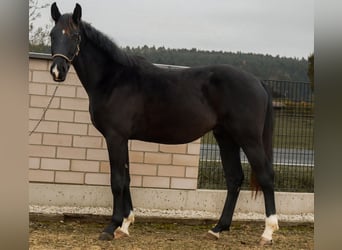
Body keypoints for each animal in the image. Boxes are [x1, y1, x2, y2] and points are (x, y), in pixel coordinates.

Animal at [50, 2, 278, 245]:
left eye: (74, 36)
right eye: (52, 34)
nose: (57, 71)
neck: (113, 79)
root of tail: (257, 81)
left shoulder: (115, 137)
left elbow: (117, 181)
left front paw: (111, 227)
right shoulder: (123, 139)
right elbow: (127, 178)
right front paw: (126, 225)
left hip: (249, 139)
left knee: (266, 176)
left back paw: (268, 232)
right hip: (226, 137)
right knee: (234, 178)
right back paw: (217, 228)